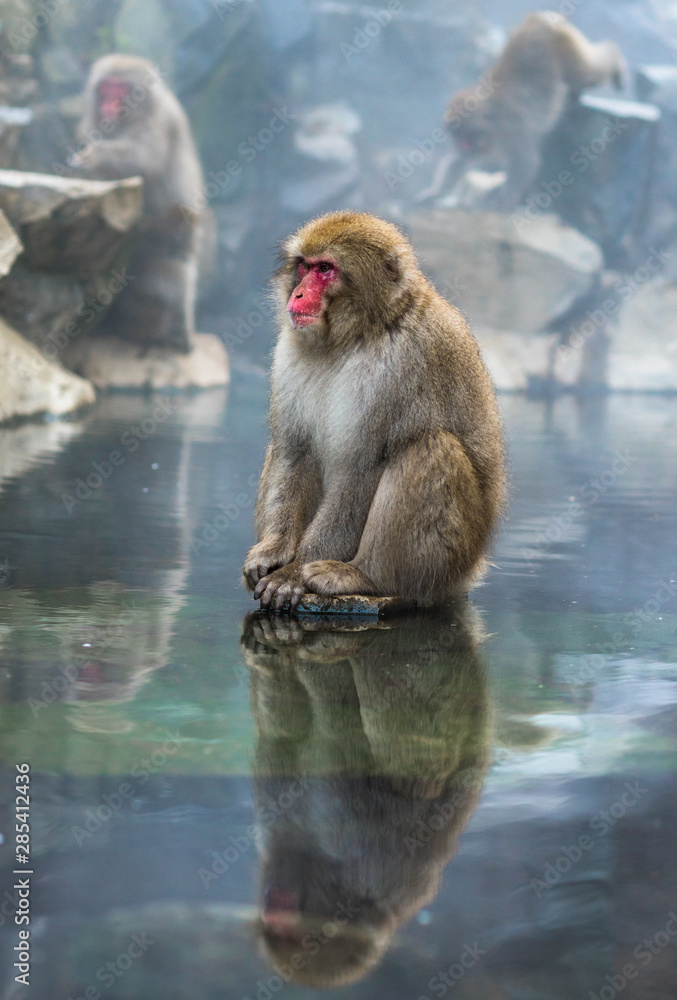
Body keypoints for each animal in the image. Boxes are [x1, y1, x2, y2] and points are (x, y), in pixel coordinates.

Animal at [71, 54, 206, 353]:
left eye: (120, 90)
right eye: (105, 88)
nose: (108, 105)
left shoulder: (159, 119)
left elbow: (144, 158)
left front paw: (93, 158)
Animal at [242, 211, 506, 611]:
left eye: (325, 269)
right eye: (304, 266)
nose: (298, 293)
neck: (361, 331)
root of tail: (472, 568)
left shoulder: (396, 366)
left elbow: (361, 470)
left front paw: (294, 571)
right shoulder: (289, 352)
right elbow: (293, 451)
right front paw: (275, 551)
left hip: (453, 558)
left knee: (429, 448)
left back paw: (366, 575)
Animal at [417, 12, 626, 209]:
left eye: (466, 140)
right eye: (458, 139)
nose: (462, 148)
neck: (493, 123)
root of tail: (537, 19)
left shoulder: (514, 130)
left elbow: (525, 162)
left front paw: (505, 200)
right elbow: (457, 163)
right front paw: (437, 192)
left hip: (563, 44)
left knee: (585, 73)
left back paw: (616, 62)